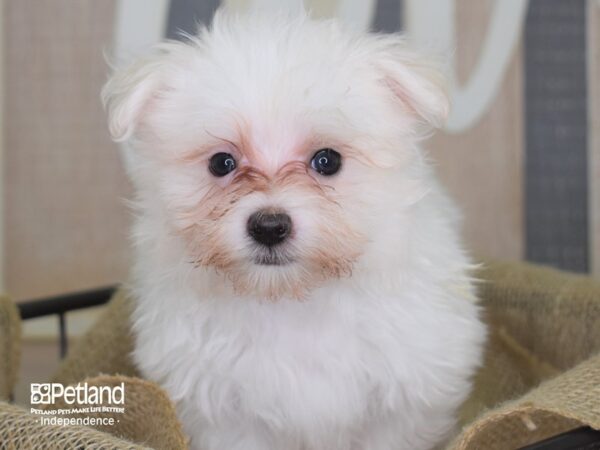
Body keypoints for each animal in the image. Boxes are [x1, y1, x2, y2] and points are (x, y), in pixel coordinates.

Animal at [103, 9, 488, 450]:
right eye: (221, 163)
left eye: (327, 160)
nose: (270, 227)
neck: (293, 299)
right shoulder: (224, 413)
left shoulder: (401, 403)